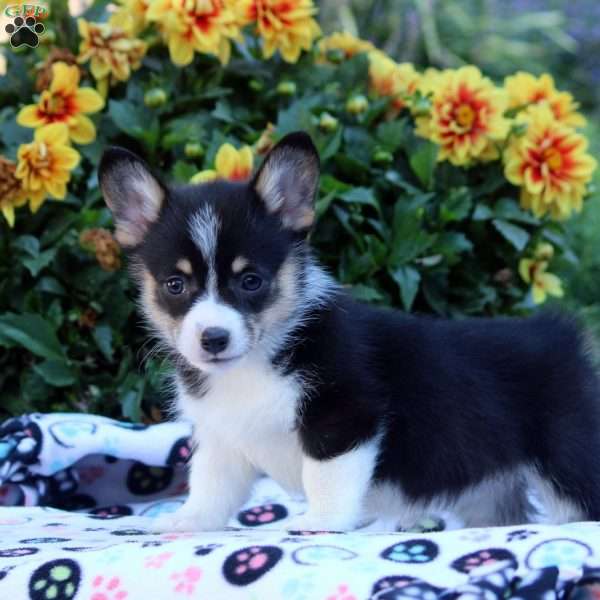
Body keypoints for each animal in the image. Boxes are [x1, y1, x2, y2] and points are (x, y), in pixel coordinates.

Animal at [98, 130, 600, 528]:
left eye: (251, 280)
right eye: (175, 284)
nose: (213, 339)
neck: (260, 361)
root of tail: (563, 337)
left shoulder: (344, 414)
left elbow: (325, 476)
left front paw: (318, 524)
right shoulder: (223, 437)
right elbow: (210, 486)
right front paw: (187, 522)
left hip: (568, 458)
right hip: (488, 487)